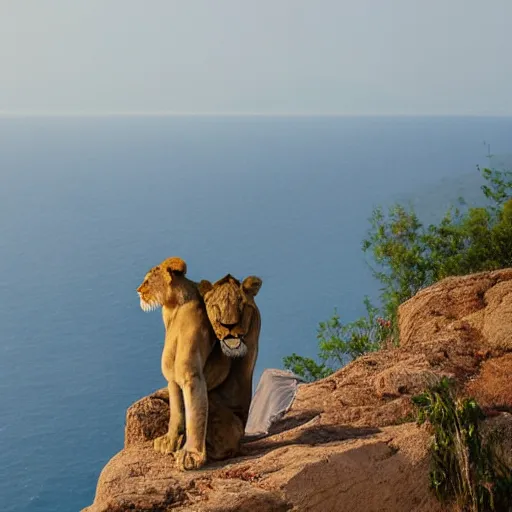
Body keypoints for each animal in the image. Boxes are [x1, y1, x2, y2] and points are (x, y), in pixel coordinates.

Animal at [136, 258, 214, 470]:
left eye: (147, 280)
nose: (138, 290)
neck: (172, 308)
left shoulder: (190, 374)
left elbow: (194, 411)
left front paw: (191, 454)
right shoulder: (171, 378)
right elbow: (177, 411)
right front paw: (169, 441)